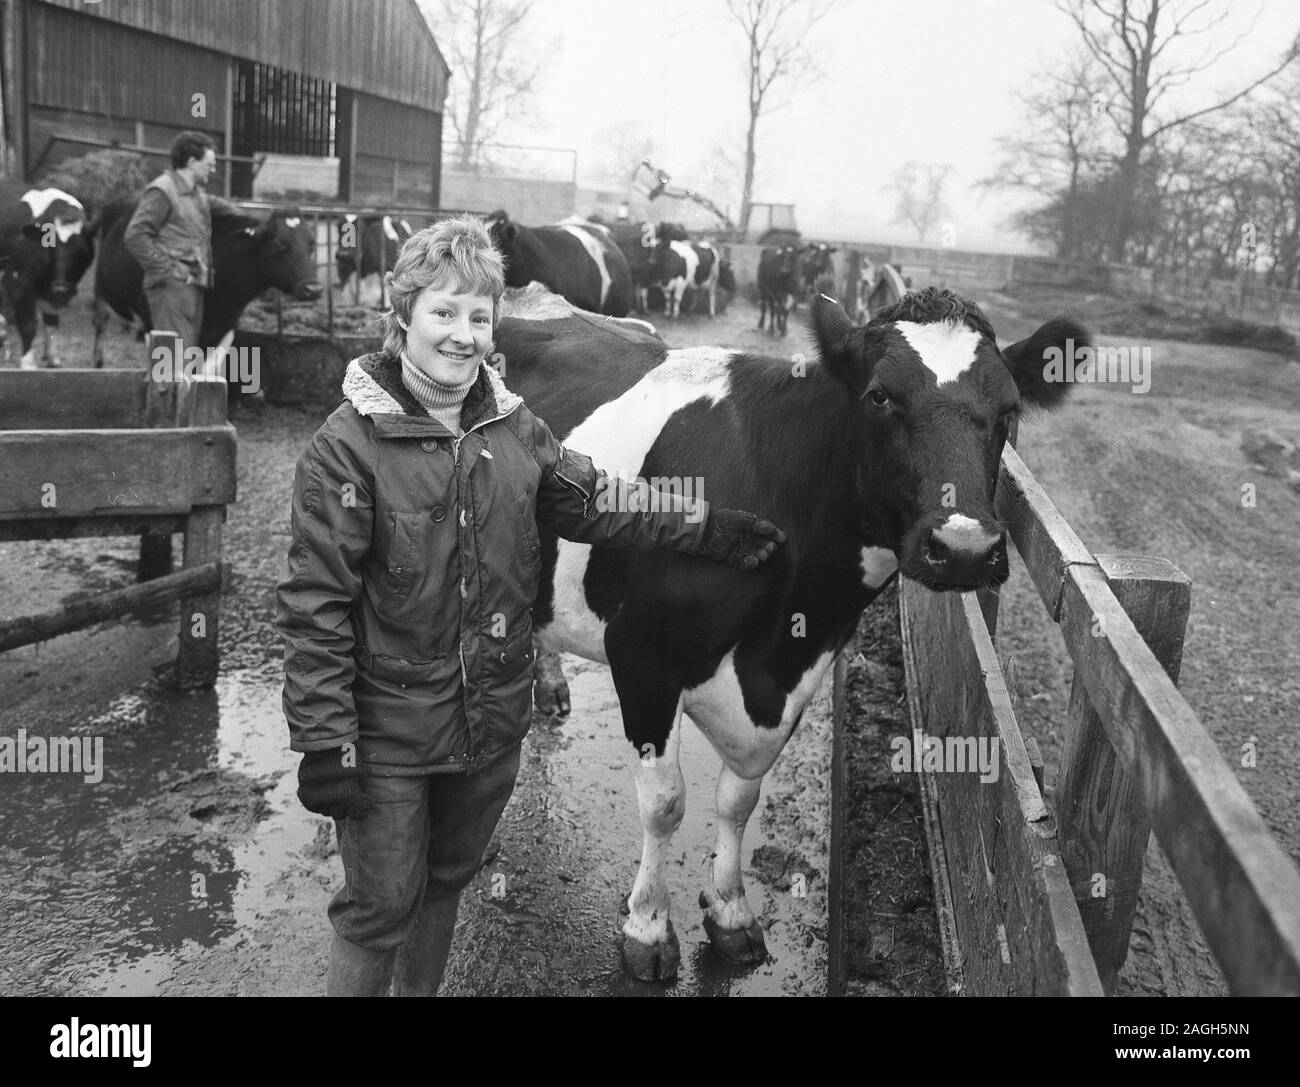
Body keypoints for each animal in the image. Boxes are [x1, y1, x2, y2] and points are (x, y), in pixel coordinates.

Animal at [0, 185, 96, 369]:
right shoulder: (17, 280)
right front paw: (28, 363)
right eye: (51, 246)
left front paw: (52, 358)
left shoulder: (53, 292)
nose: (62, 287)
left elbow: (52, 321)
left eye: (79, 250)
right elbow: (28, 323)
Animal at [92, 197, 321, 364]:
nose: (313, 288)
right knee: (101, 321)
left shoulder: (224, 330)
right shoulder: (158, 324)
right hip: (101, 292)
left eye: (311, 244)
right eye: (279, 244)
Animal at [496, 278, 1086, 977]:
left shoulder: (801, 667)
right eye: (879, 396)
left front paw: (731, 914)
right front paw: (647, 929)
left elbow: (738, 798)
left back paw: (551, 688)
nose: (965, 548)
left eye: (1009, 410)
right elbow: (665, 803)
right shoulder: (643, 658)